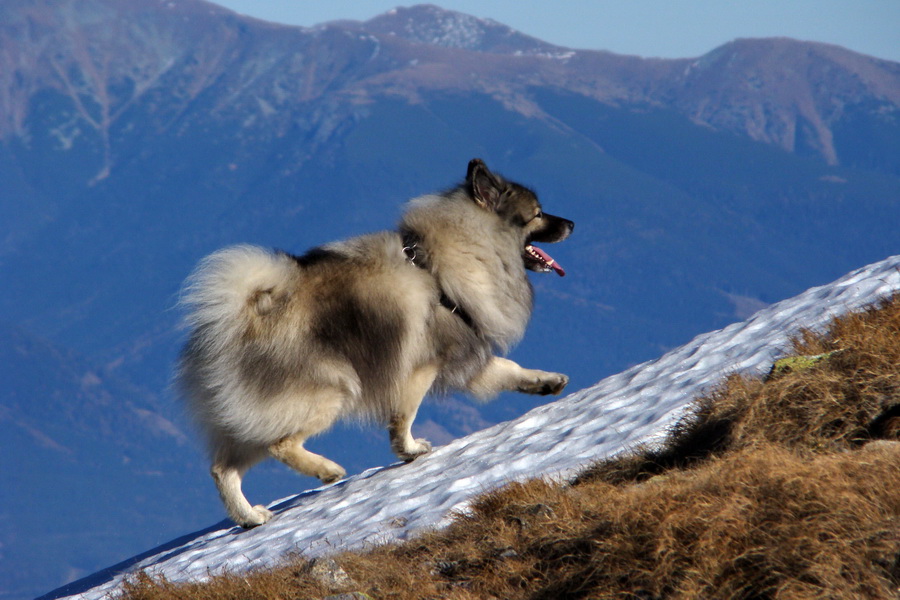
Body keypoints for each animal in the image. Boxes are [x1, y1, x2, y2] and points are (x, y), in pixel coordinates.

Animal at [178, 158, 572, 524]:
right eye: (538, 214)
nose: (571, 223)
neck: (446, 263)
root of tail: (234, 324)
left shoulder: (467, 356)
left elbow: (511, 369)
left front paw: (546, 382)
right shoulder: (422, 367)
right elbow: (404, 417)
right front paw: (410, 450)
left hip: (245, 421)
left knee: (222, 470)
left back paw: (250, 517)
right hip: (328, 394)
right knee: (280, 444)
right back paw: (327, 470)